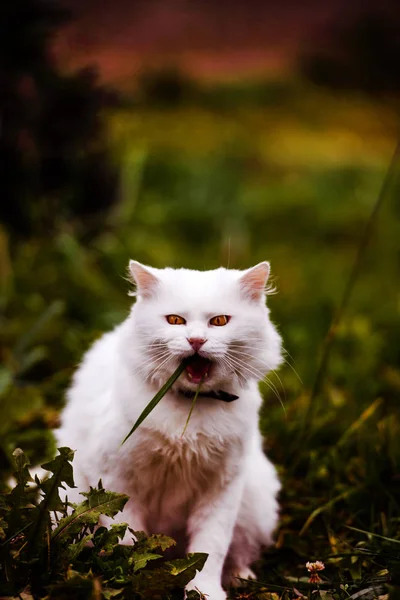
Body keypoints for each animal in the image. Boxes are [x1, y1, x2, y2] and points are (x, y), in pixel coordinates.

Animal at [56, 260, 282, 596]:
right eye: (175, 320)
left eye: (219, 321)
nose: (196, 341)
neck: (190, 407)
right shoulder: (117, 480)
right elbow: (128, 541)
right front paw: (134, 582)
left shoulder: (222, 487)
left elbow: (211, 548)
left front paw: (205, 591)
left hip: (255, 501)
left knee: (239, 552)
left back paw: (240, 578)